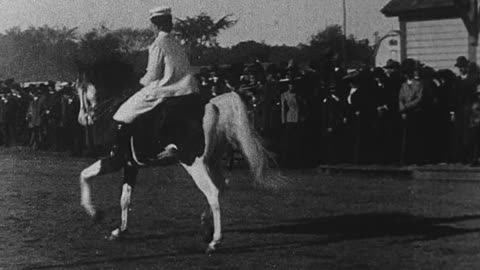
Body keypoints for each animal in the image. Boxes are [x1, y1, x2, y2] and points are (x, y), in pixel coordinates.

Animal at [75, 61, 278, 253]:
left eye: (81, 89)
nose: (82, 120)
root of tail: (211, 104)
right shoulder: (131, 165)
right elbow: (125, 199)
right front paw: (119, 231)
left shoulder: (115, 160)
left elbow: (84, 175)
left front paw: (95, 213)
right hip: (212, 161)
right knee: (221, 186)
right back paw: (206, 226)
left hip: (193, 163)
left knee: (212, 192)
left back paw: (214, 241)